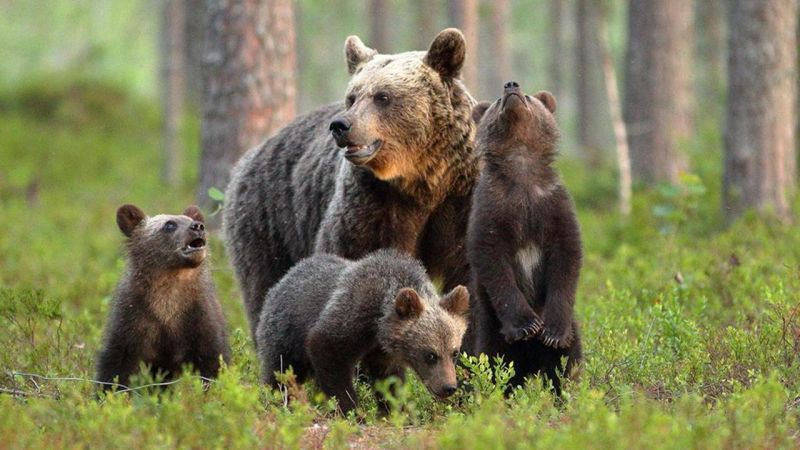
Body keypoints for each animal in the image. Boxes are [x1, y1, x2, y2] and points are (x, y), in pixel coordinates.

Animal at [96, 205, 231, 390]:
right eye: (169, 224)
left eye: (191, 220)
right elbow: (116, 366)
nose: (198, 226)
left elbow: (212, 362)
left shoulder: (199, 318)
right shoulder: (133, 319)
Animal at [222, 28, 478, 338]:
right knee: (263, 285)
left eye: (382, 96)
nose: (340, 126)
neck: (422, 178)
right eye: (352, 96)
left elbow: (468, 272)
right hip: (268, 221)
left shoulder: (460, 200)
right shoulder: (373, 203)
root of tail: (250, 156)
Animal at [256, 250, 468, 414]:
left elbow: (389, 378)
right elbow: (327, 350)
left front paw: (396, 410)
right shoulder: (352, 313)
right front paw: (352, 410)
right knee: (281, 369)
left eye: (454, 352)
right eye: (430, 355)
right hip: (285, 332)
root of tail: (284, 278)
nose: (449, 387)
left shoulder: (383, 351)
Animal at [468, 81, 580, 394]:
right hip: (490, 328)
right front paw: (527, 325)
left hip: (574, 329)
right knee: (497, 363)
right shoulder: (492, 208)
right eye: (496, 100)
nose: (511, 86)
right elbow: (493, 261)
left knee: (565, 362)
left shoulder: (552, 205)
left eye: (529, 96)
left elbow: (566, 258)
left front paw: (552, 332)